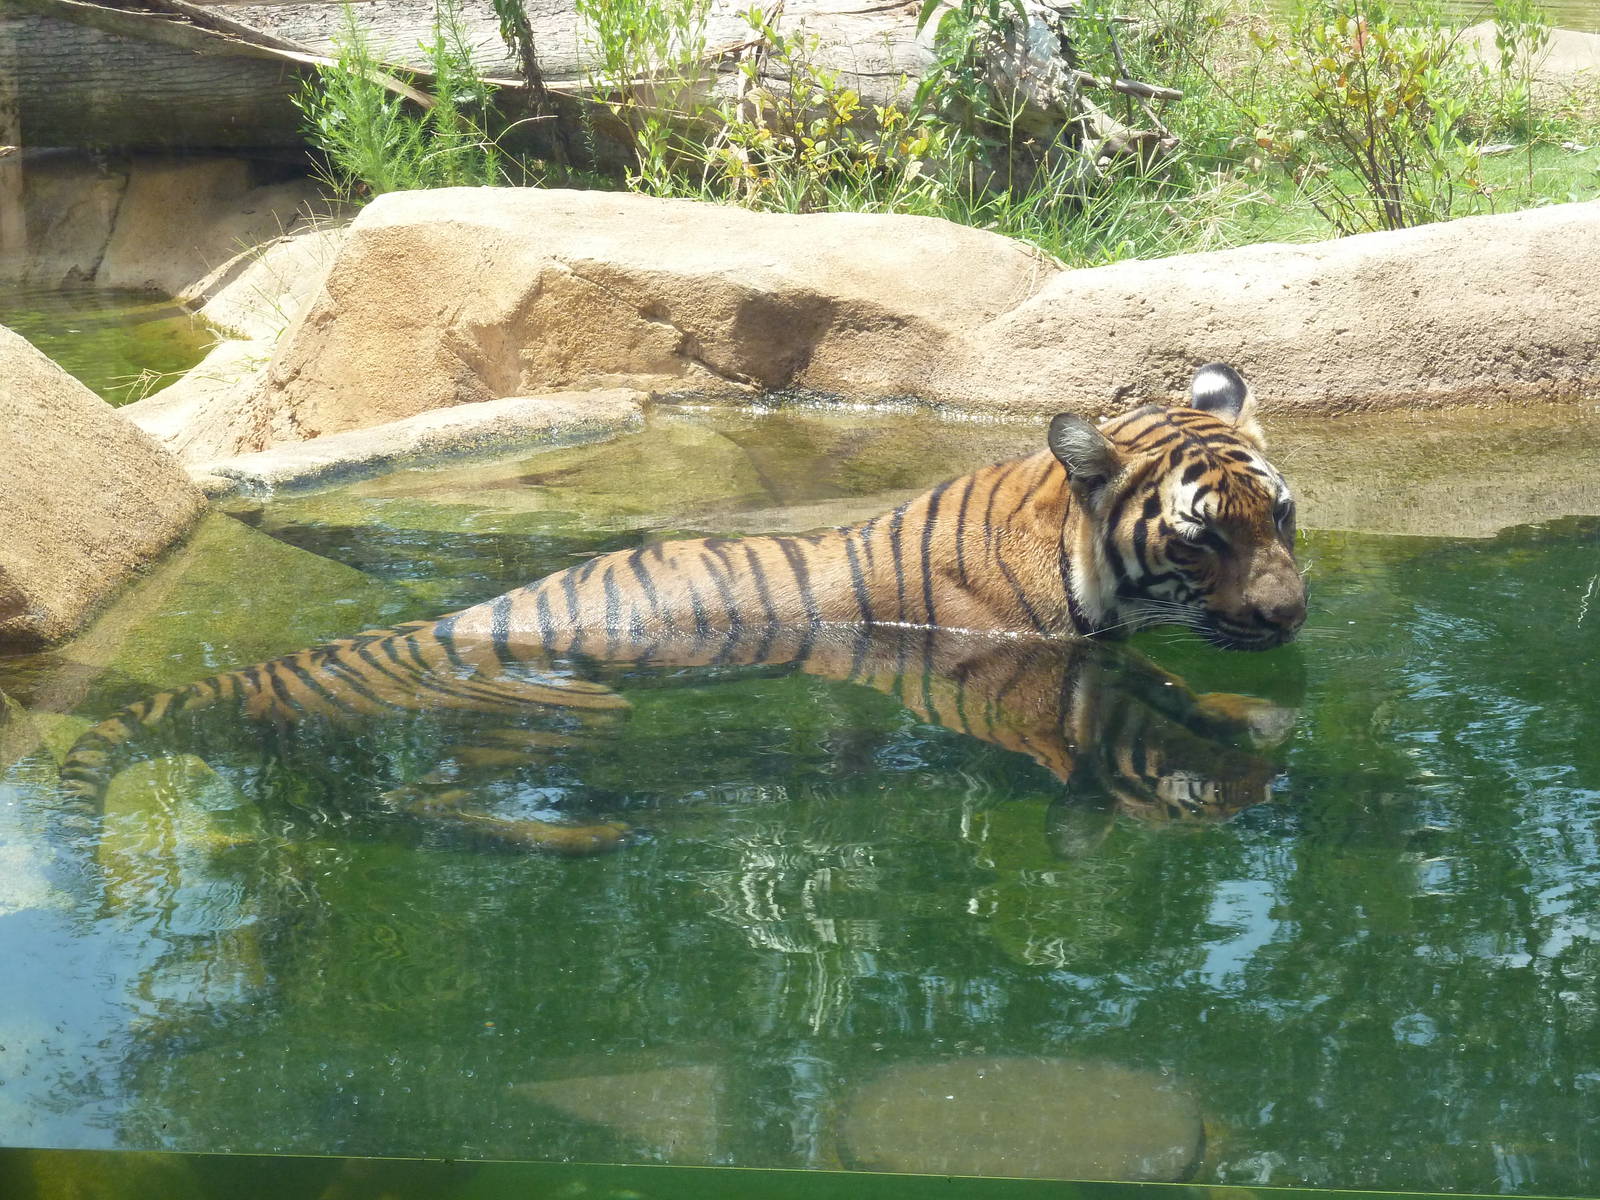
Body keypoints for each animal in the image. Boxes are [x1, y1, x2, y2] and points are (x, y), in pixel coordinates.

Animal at [59, 362, 1304, 852]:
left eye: (1281, 517)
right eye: (1204, 537)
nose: (1291, 618)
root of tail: (416, 629)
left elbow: (1171, 686)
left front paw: (1252, 721)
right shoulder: (1030, 673)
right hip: (555, 716)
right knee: (421, 795)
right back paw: (580, 838)